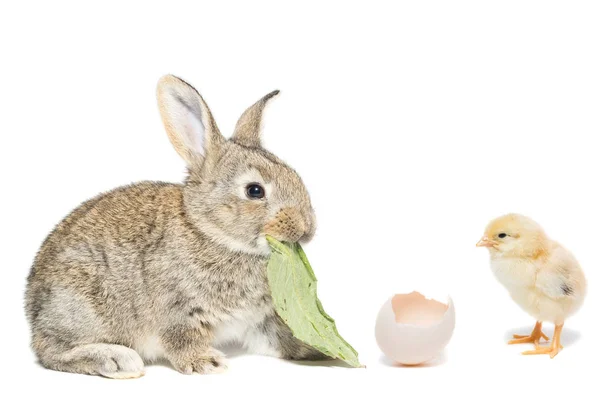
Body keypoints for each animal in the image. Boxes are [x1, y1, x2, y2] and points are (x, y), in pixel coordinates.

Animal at [25, 75, 328, 378]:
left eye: (294, 175)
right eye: (254, 191)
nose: (307, 228)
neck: (211, 233)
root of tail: (32, 310)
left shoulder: (259, 320)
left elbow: (279, 337)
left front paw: (317, 349)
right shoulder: (178, 311)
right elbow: (182, 339)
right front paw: (207, 362)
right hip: (82, 306)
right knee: (51, 351)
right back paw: (117, 360)